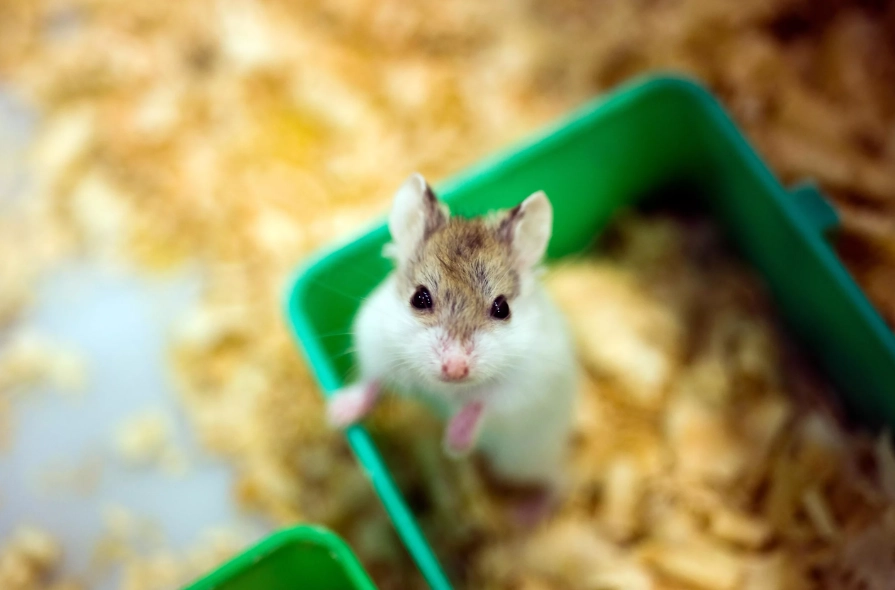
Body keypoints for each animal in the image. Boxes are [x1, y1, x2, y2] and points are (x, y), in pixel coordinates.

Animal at [326, 172, 578, 498]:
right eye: (419, 298)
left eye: (503, 308)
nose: (455, 368)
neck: (445, 388)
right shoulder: (376, 347)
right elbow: (372, 382)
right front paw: (337, 413)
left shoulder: (523, 386)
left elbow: (481, 404)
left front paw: (453, 445)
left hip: (527, 459)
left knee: (555, 483)